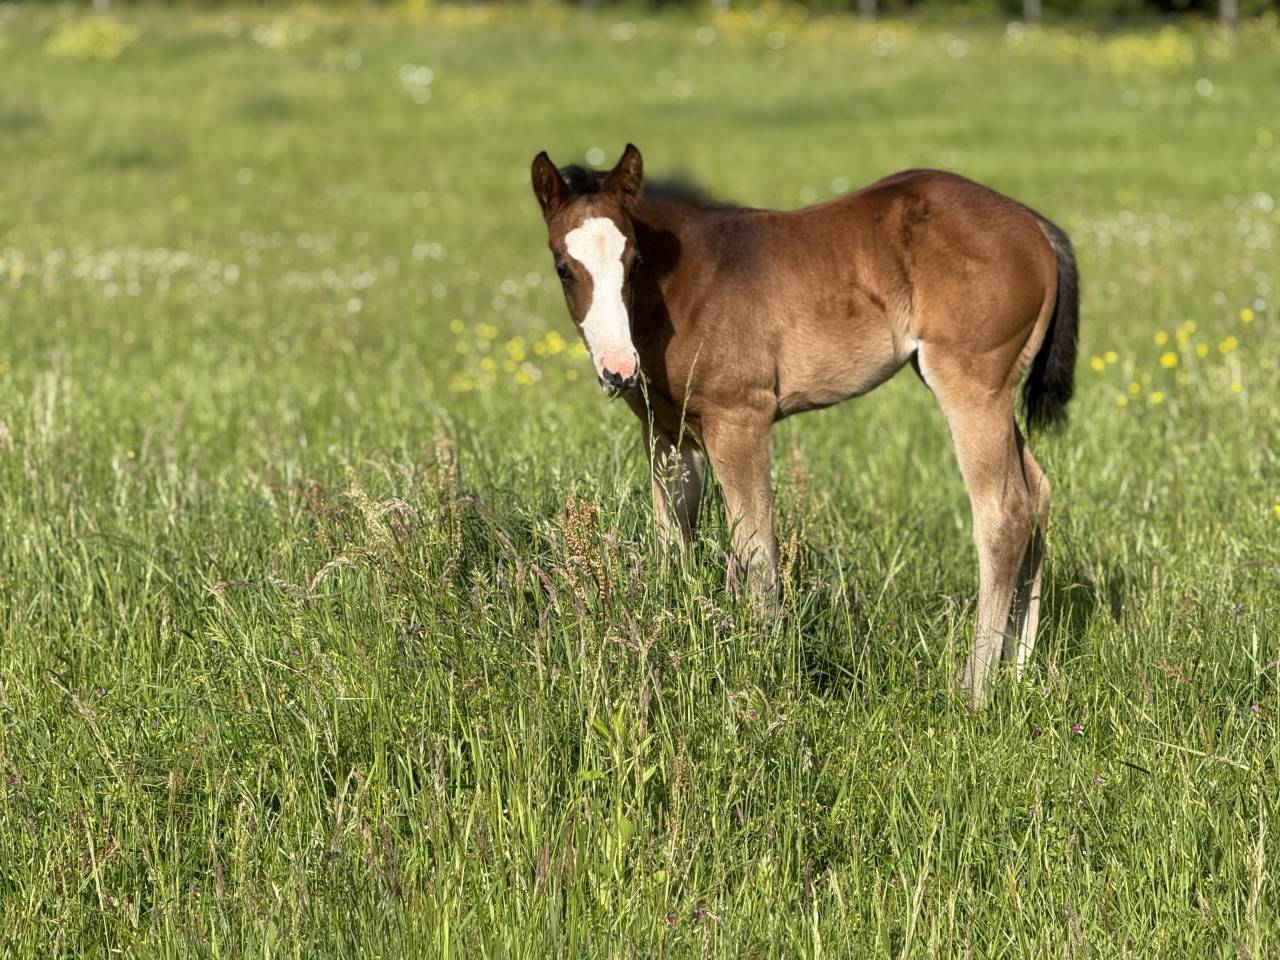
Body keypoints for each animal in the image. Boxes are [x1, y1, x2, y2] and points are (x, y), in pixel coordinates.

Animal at [530, 144, 1078, 707]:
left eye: (634, 261)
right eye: (563, 268)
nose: (618, 369)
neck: (685, 287)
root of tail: (1035, 224)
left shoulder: (739, 418)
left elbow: (755, 549)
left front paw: (762, 671)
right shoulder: (666, 432)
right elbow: (672, 541)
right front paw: (665, 644)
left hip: (972, 386)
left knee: (1004, 514)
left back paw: (975, 689)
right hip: (992, 392)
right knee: (1037, 493)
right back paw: (1018, 669)